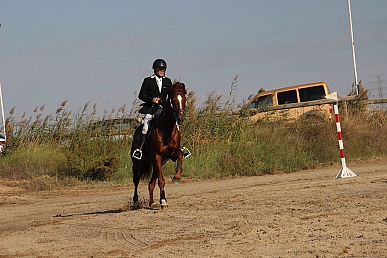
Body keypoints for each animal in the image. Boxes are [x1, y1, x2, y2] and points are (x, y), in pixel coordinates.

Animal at [131, 81, 189, 210]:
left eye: (184, 99)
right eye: (173, 100)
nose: (181, 119)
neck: (166, 129)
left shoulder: (171, 154)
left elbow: (180, 155)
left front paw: (177, 177)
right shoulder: (157, 156)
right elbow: (161, 181)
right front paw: (163, 201)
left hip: (158, 163)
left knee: (151, 183)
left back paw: (152, 203)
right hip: (138, 162)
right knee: (136, 180)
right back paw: (136, 203)